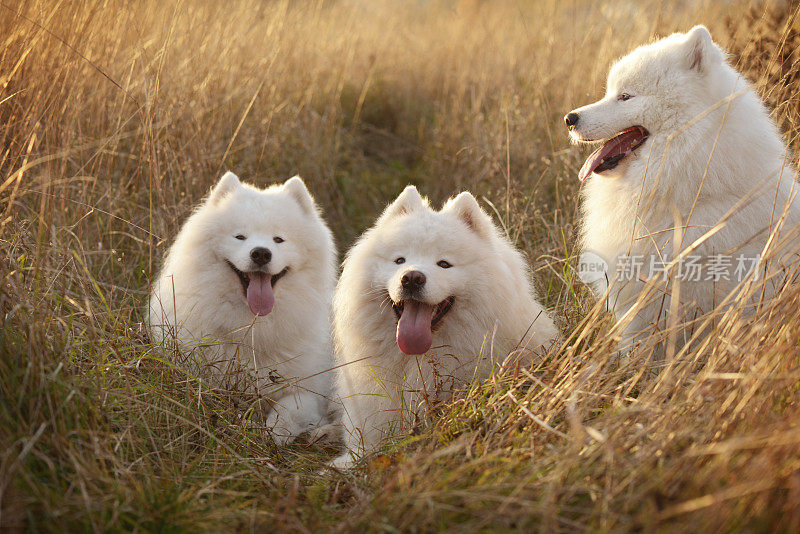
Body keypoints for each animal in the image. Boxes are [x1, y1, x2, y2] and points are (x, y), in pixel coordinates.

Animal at [148, 174, 338, 446]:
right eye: (240, 237)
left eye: (278, 239)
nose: (261, 253)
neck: (253, 325)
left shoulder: (312, 388)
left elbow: (290, 407)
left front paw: (276, 431)